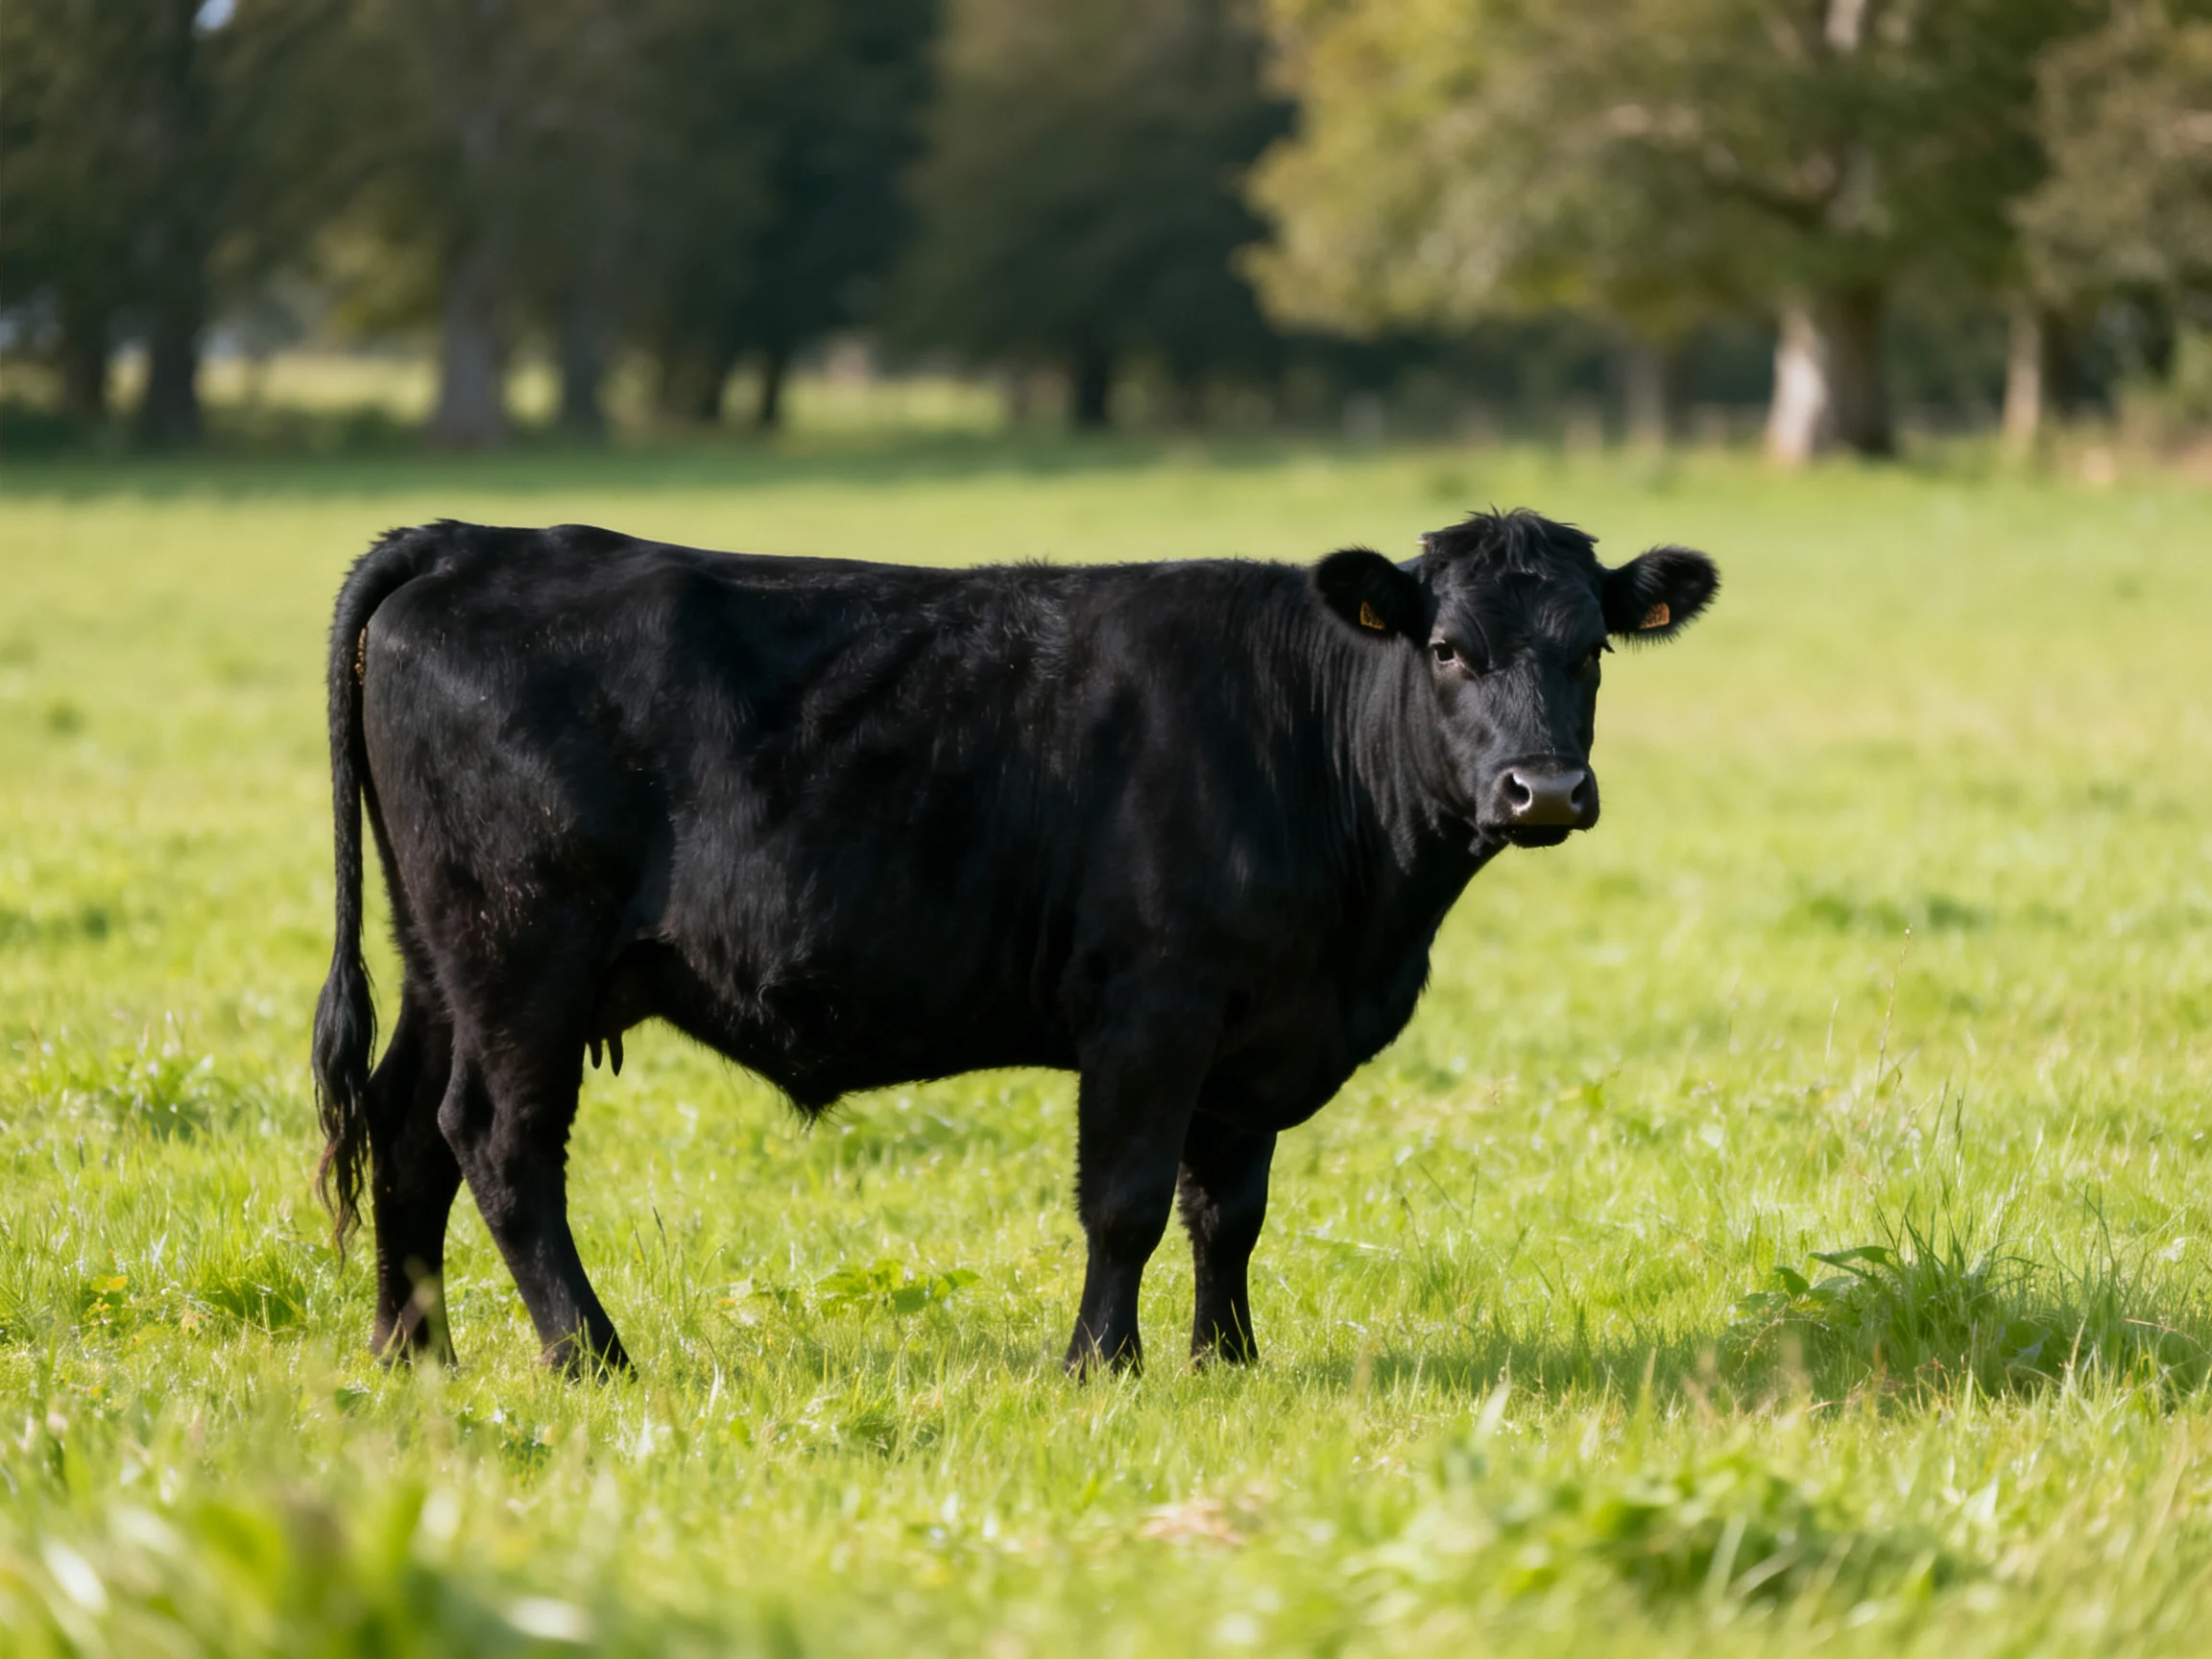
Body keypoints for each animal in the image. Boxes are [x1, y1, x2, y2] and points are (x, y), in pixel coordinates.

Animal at [311, 509, 1717, 1376]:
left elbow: (1231, 1211)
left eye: (1591, 650)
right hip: (521, 954)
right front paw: (1104, 1364)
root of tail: (469, 543)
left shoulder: (1254, 1028)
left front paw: (1229, 1361)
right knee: (497, 1142)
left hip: (441, 956)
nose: (1544, 789)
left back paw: (414, 1350)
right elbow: (1128, 1201)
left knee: (402, 1126)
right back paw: (591, 1355)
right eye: (1446, 648)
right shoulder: (1152, 1007)